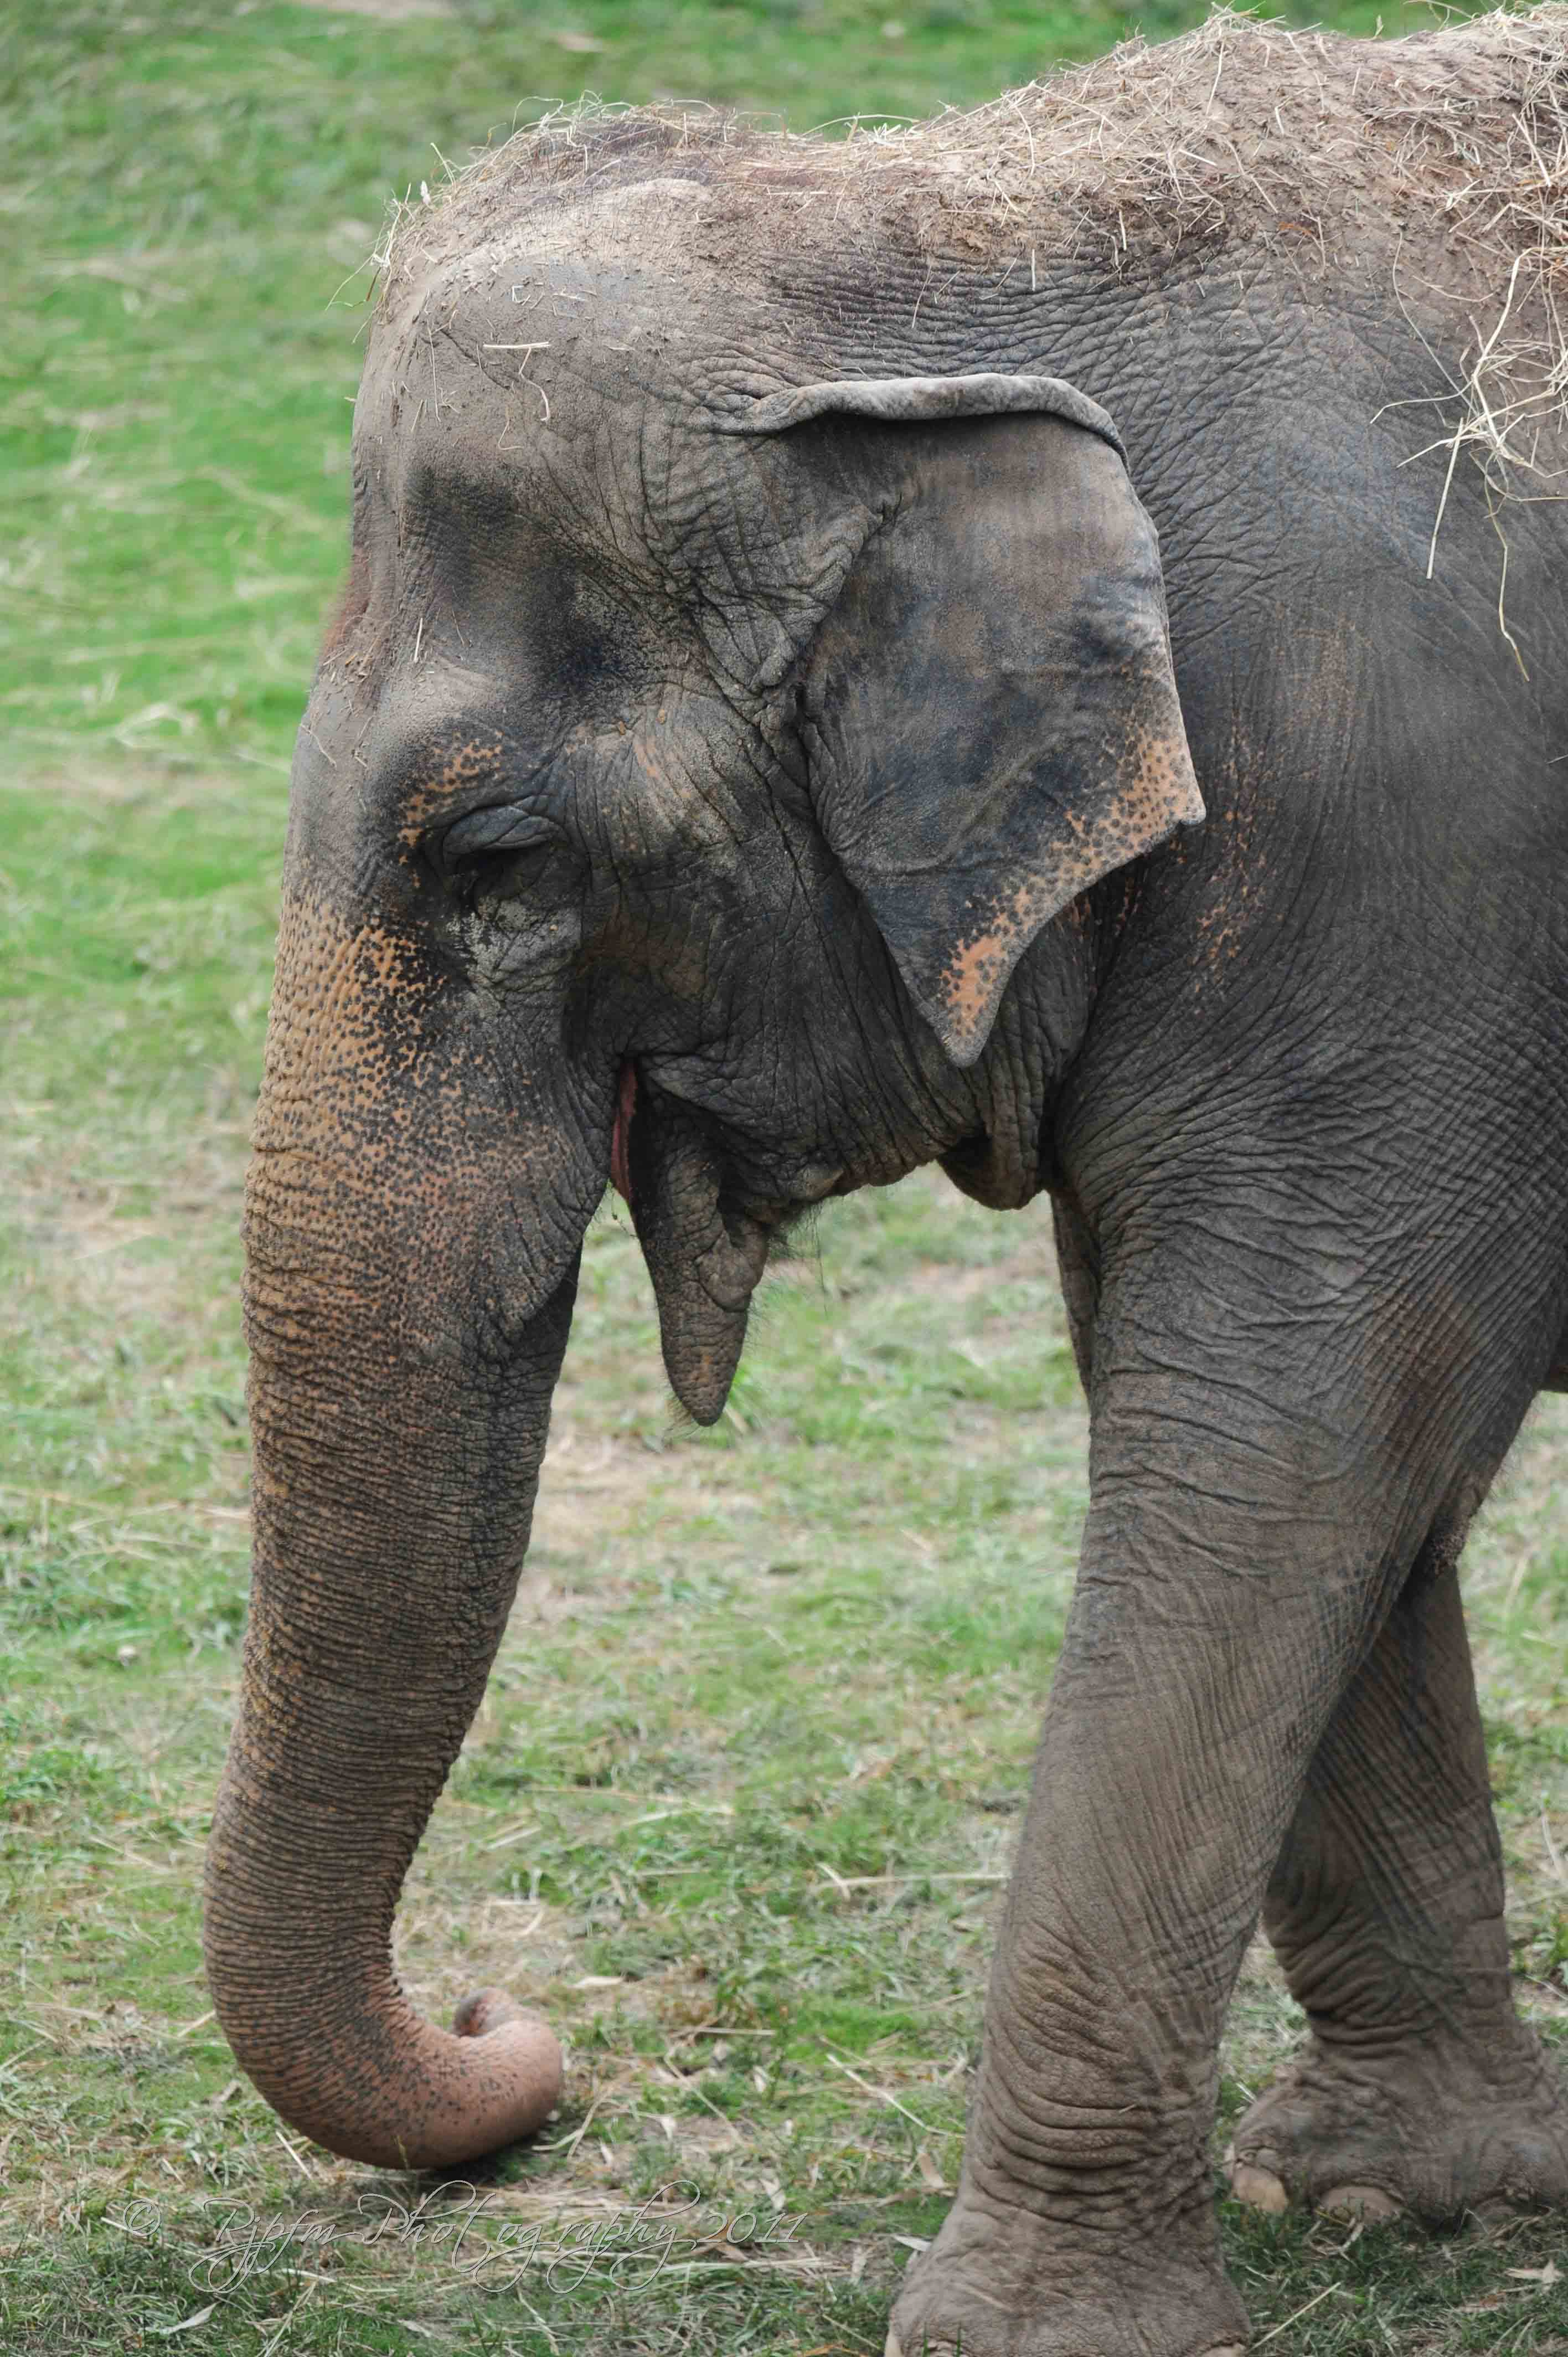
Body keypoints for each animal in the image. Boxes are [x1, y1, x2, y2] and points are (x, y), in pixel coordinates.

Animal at [205, 18, 1565, 2357]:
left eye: (497, 864)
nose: (507, 2025)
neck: (923, 234)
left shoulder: (1410, 869)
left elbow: (1272, 1441)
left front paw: (1035, 2330)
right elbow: (1300, 1460)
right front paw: (1390, 2193)